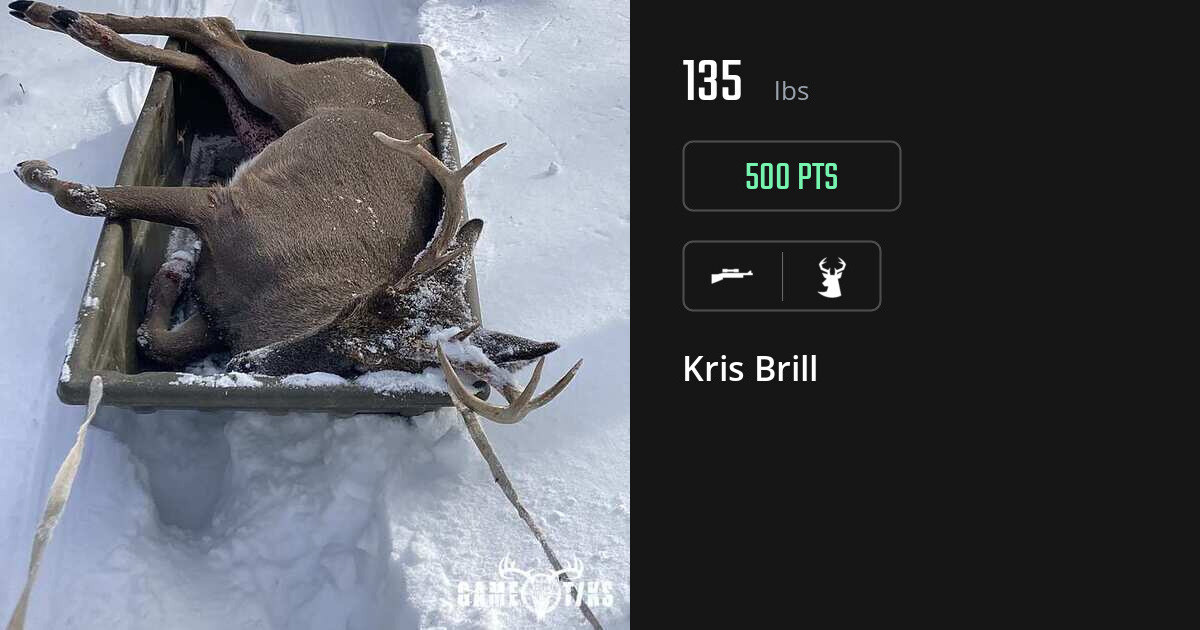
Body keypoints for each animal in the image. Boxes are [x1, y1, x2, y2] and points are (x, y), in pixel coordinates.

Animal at [7, 2, 581, 425]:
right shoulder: (226, 208)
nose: (246, 364)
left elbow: (160, 342)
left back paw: (73, 23)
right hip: (290, 89)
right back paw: (52, 14)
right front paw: (36, 172)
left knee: (208, 57)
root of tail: (373, 65)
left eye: (359, 367)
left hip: (263, 122)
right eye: (356, 311)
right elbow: (87, 199)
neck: (263, 313)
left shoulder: (216, 315)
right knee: (214, 26)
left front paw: (174, 270)